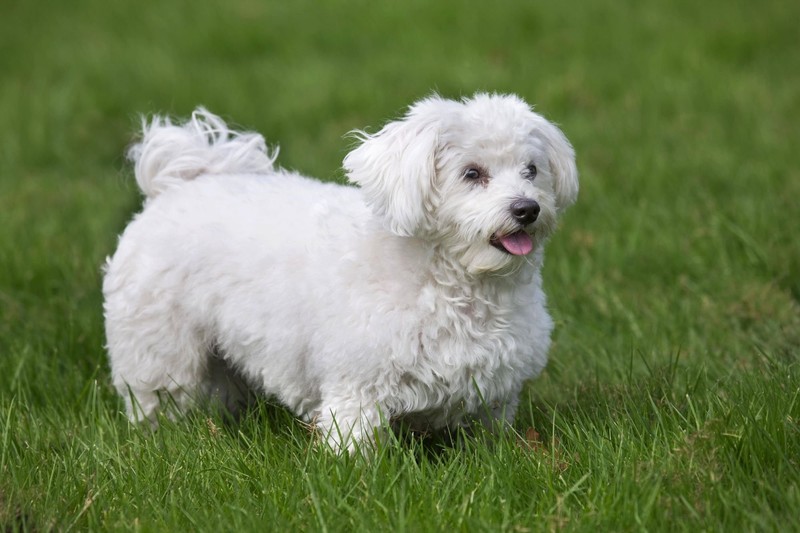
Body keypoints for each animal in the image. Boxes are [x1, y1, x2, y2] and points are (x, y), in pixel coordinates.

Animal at [103, 93, 580, 450]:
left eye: (531, 171)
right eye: (472, 173)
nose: (527, 208)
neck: (455, 284)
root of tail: (178, 183)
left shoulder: (493, 397)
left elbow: (487, 441)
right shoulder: (358, 389)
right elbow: (355, 447)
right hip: (160, 349)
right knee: (158, 398)